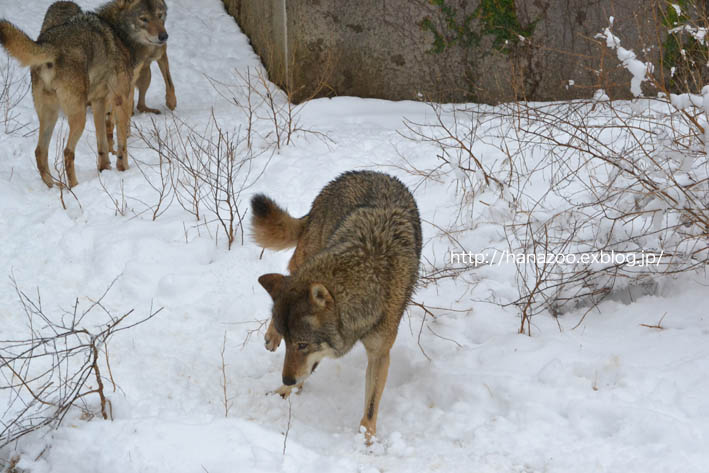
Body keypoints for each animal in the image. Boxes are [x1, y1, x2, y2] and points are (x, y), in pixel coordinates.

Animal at [0, 0, 169, 188]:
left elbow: (102, 142)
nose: (164, 36)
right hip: (78, 117)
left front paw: (104, 169)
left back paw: (55, 187)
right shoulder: (121, 99)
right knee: (67, 152)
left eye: (160, 15)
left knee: (40, 152)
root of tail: (49, 44)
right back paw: (74, 186)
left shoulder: (99, 101)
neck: (118, 33)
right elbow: (122, 143)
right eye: (143, 19)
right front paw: (123, 169)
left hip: (51, 115)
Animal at [253, 171, 424, 442]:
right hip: (306, 255)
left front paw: (365, 440)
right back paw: (271, 336)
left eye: (302, 344)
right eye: (290, 343)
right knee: (286, 275)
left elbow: (371, 406)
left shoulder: (379, 353)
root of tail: (366, 172)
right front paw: (282, 391)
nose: (286, 378)